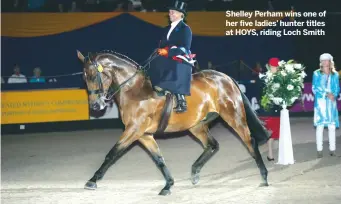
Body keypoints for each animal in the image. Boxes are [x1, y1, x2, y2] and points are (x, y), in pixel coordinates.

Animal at [75, 49, 270, 196]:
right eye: (84, 78)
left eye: (93, 76)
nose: (96, 105)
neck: (135, 90)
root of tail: (225, 78)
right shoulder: (144, 135)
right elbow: (159, 159)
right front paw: (168, 185)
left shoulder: (134, 130)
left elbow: (112, 153)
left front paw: (92, 180)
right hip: (196, 125)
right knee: (212, 145)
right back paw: (195, 172)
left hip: (234, 117)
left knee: (250, 141)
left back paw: (264, 177)